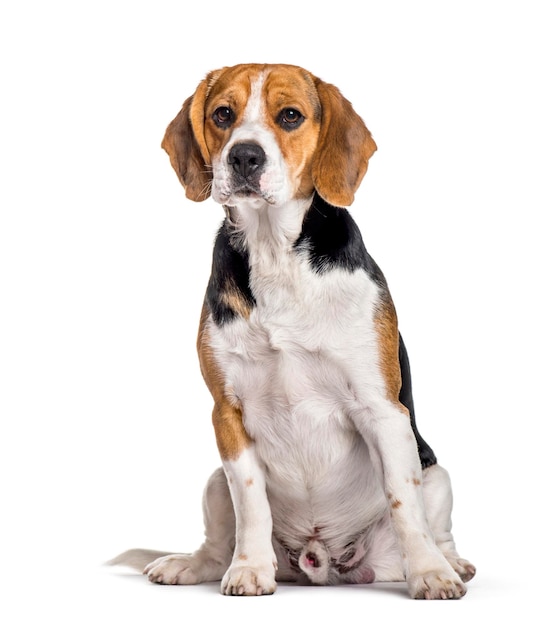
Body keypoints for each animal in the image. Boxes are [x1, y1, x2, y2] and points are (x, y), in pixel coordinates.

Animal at [111, 64, 476, 600]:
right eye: (223, 114)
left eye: (290, 116)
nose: (244, 155)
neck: (274, 253)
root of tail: (319, 563)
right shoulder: (227, 414)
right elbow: (251, 505)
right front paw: (249, 569)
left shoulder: (383, 411)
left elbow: (403, 505)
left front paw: (431, 574)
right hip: (213, 481)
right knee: (217, 541)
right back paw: (191, 565)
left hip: (437, 475)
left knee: (434, 522)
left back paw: (451, 562)